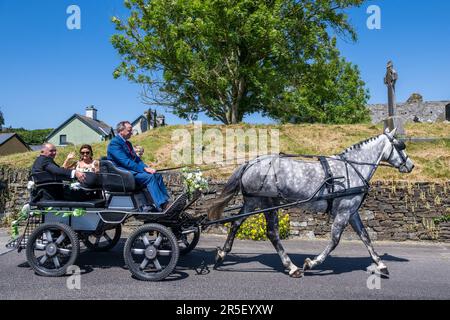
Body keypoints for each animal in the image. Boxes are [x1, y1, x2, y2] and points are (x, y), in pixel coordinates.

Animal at [207, 128, 414, 278]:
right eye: (401, 145)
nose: (411, 165)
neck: (353, 168)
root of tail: (250, 163)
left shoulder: (351, 211)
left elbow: (365, 236)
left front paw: (381, 265)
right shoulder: (344, 211)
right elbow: (334, 240)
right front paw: (311, 263)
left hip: (253, 202)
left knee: (236, 223)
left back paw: (222, 254)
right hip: (268, 203)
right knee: (272, 233)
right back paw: (292, 267)